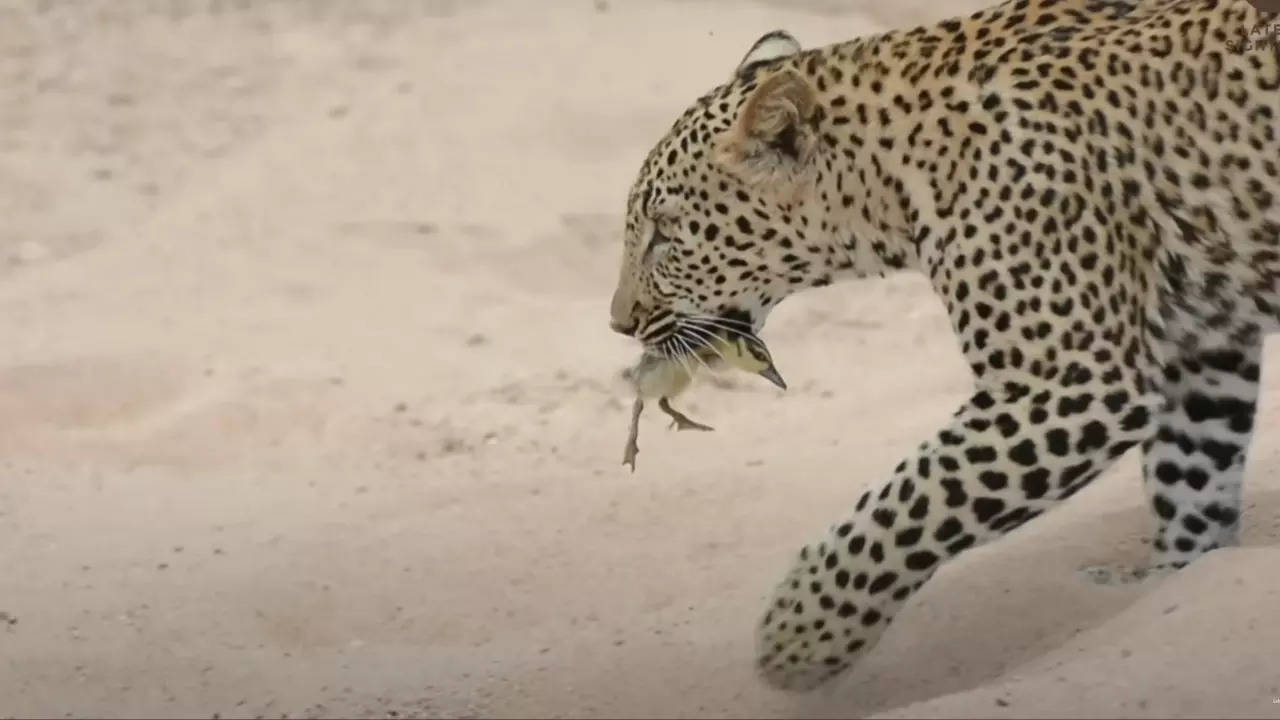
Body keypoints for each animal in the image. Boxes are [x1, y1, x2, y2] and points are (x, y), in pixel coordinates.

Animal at [606, 0, 1280, 691]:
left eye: (665, 235)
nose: (620, 324)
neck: (890, 177)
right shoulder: (1203, 347)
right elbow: (1191, 478)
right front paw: (1171, 582)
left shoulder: (1070, 380)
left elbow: (915, 499)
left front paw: (799, 638)